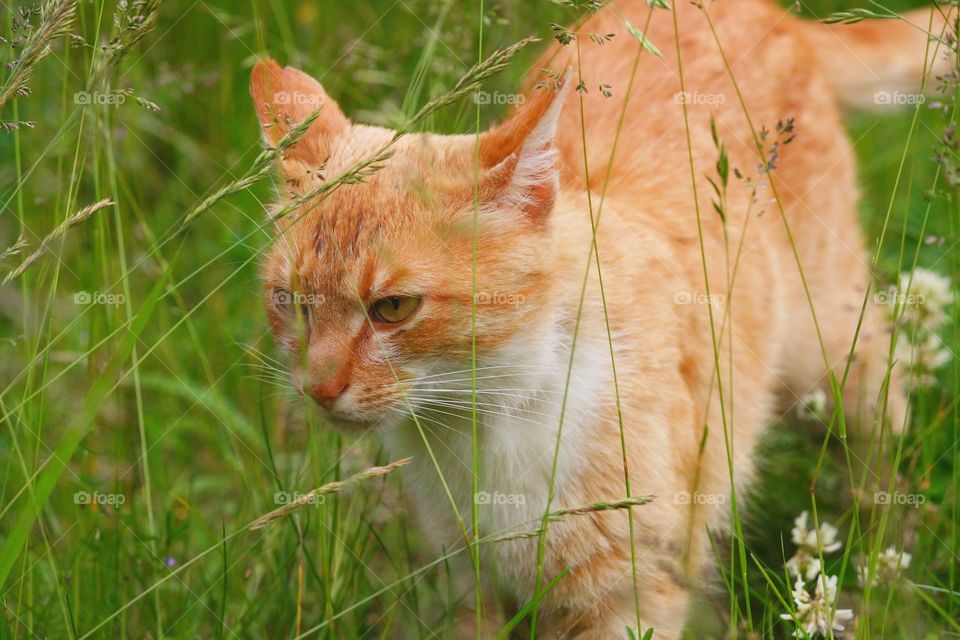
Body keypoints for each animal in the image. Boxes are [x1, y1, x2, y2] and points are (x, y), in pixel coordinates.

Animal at [249, 2, 944, 636]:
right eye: (291, 301)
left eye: (393, 308)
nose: (319, 388)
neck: (488, 420)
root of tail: (770, 13)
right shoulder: (466, 587)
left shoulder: (631, 594)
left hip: (829, 362)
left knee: (886, 427)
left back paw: (887, 570)